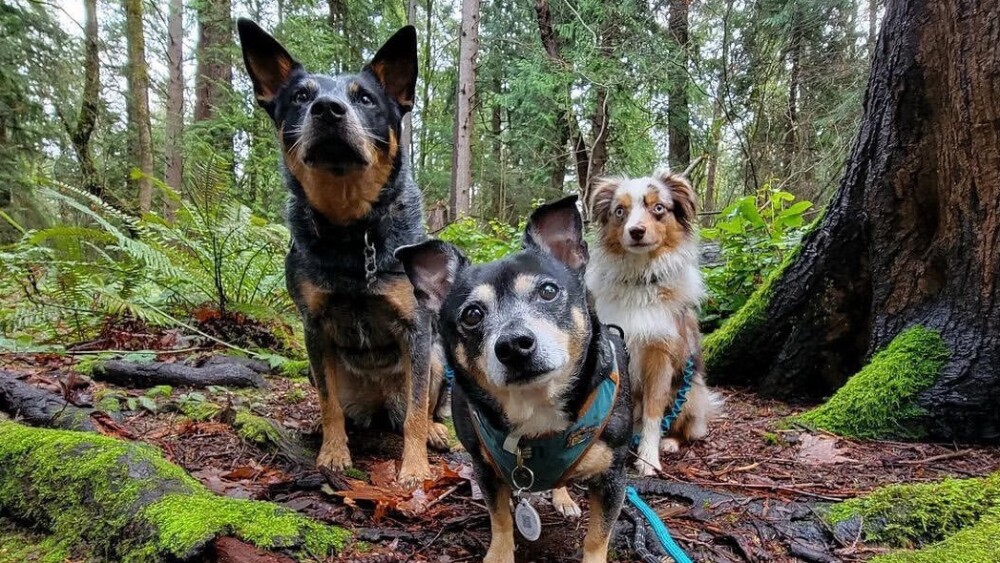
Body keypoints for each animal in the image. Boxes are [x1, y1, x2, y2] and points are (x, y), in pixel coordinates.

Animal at [238, 17, 446, 484]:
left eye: (365, 98)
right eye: (301, 96)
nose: (328, 109)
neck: (352, 230)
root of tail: (377, 405)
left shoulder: (417, 330)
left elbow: (416, 412)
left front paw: (415, 467)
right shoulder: (313, 327)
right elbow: (329, 403)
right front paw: (333, 454)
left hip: (438, 357)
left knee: (422, 405)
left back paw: (437, 430)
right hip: (317, 366)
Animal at [398, 198, 632, 563]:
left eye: (548, 291)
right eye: (472, 314)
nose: (513, 345)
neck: (534, 408)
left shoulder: (613, 479)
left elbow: (597, 536)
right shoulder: (483, 467)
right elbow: (500, 519)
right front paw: (500, 552)